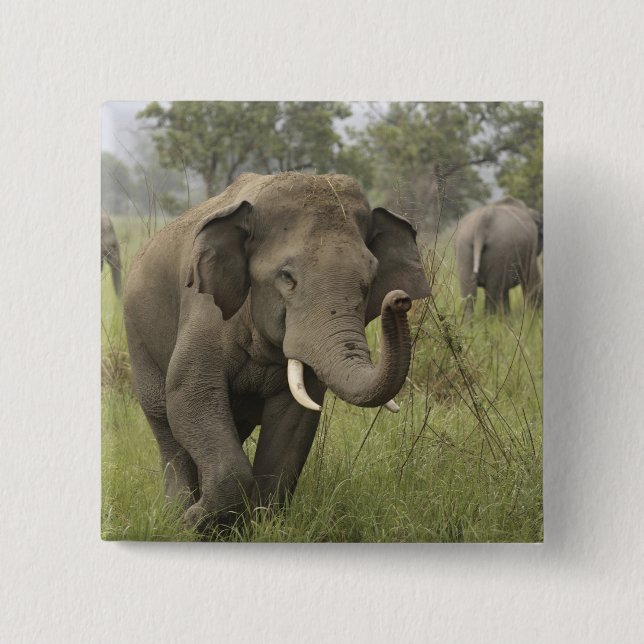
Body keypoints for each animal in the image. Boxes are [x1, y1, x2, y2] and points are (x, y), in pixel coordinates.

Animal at [123, 172, 431, 527]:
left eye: (370, 280)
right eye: (287, 277)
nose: (400, 300)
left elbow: (293, 421)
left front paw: (256, 525)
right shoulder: (204, 311)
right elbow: (189, 395)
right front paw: (194, 522)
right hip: (138, 338)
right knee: (165, 421)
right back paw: (175, 516)